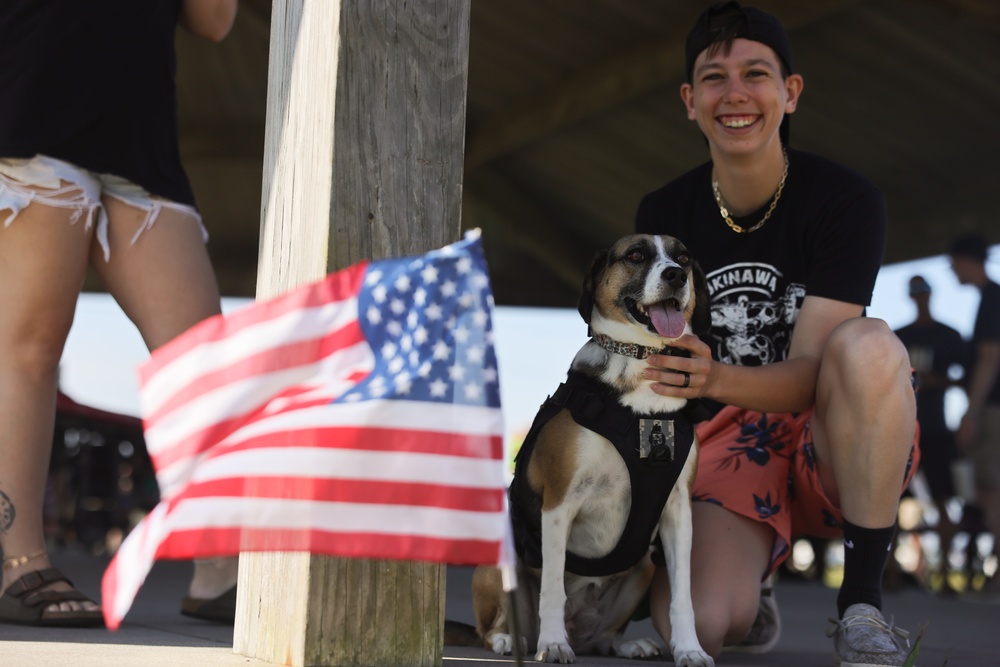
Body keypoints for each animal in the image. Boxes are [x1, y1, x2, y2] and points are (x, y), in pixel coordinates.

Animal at [472, 232, 716, 664]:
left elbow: (682, 597)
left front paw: (690, 648)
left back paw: (624, 643)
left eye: (684, 258)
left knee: (602, 636)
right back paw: (512, 639)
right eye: (636, 254)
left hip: (643, 565)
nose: (675, 275)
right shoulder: (559, 503)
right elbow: (553, 588)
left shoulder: (678, 512)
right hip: (503, 559)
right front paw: (553, 645)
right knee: (492, 628)